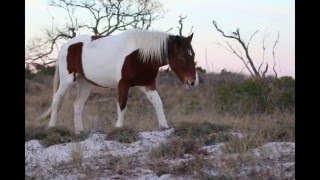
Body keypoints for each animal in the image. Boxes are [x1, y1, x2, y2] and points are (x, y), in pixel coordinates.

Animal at [37, 29, 198, 134]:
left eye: (193, 54)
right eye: (181, 56)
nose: (193, 82)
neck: (140, 55)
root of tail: (66, 45)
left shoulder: (148, 84)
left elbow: (158, 103)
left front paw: (164, 126)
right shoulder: (123, 84)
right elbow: (122, 105)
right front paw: (119, 128)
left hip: (85, 84)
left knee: (77, 105)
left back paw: (80, 132)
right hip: (67, 81)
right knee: (57, 99)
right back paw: (52, 127)